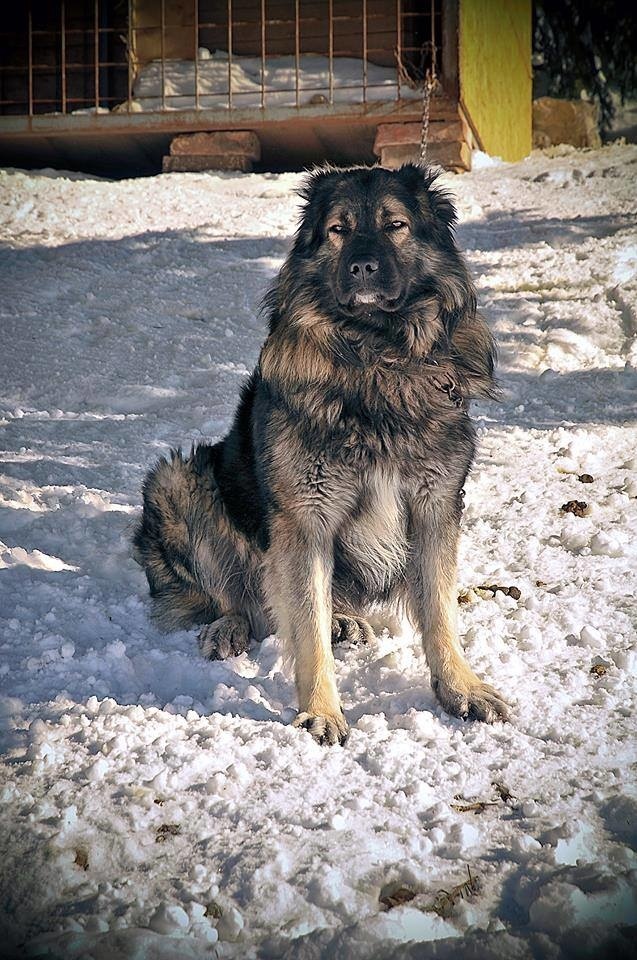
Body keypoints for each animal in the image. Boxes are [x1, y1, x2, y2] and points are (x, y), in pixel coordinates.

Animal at [133, 163, 506, 744]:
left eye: (395, 225)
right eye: (338, 230)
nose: (362, 266)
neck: (376, 359)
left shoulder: (435, 506)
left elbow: (440, 612)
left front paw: (460, 688)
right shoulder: (305, 519)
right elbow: (306, 627)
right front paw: (322, 712)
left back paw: (344, 619)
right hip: (177, 481)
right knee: (234, 598)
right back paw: (227, 626)